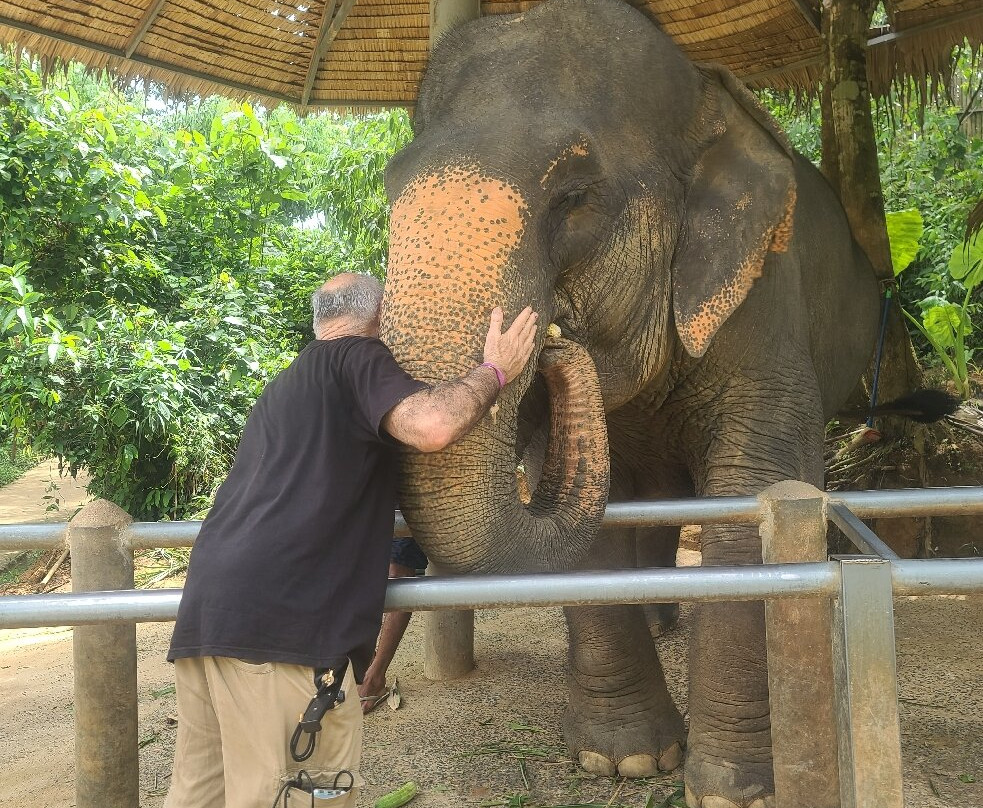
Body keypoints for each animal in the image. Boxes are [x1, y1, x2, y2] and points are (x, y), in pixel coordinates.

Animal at [379, 0, 882, 805]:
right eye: (389, 191)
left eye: (573, 198)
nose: (550, 340)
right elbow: (594, 514)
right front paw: (627, 762)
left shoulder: (763, 296)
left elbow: (749, 494)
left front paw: (733, 788)